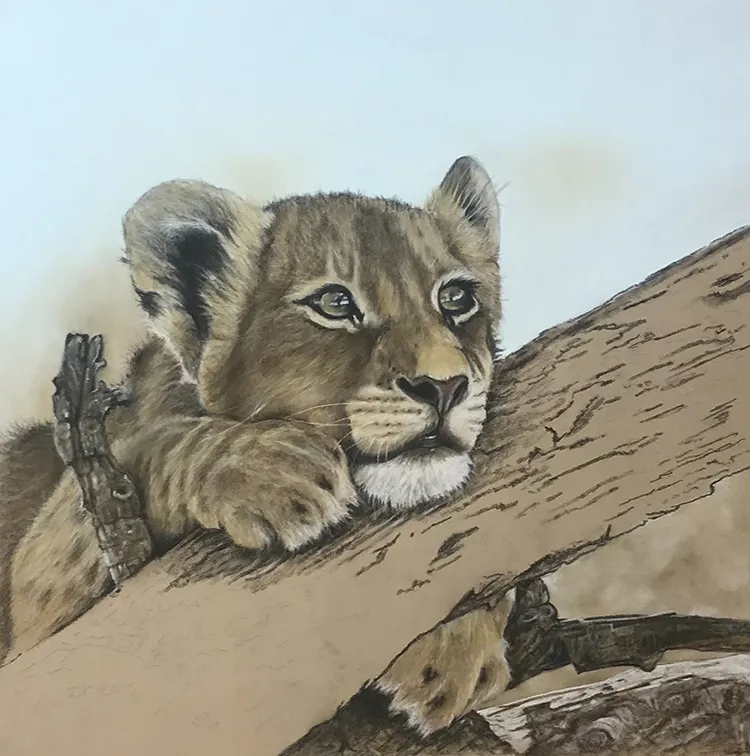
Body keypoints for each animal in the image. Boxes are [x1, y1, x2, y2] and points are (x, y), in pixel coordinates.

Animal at [0, 155, 514, 736]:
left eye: (457, 298)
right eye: (334, 303)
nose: (445, 387)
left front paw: (455, 651)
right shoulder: (35, 615)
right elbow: (156, 443)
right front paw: (274, 471)